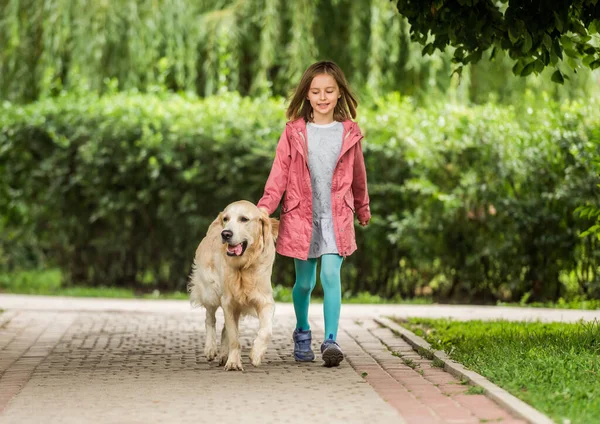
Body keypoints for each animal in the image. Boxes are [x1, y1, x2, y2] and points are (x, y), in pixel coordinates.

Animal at [188, 200, 278, 370]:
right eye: (227, 219)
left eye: (244, 219)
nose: (225, 234)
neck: (243, 266)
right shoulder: (228, 301)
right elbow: (234, 338)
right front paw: (234, 362)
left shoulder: (265, 301)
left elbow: (267, 330)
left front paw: (256, 354)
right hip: (211, 291)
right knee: (210, 318)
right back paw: (211, 348)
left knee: (225, 328)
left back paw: (223, 354)